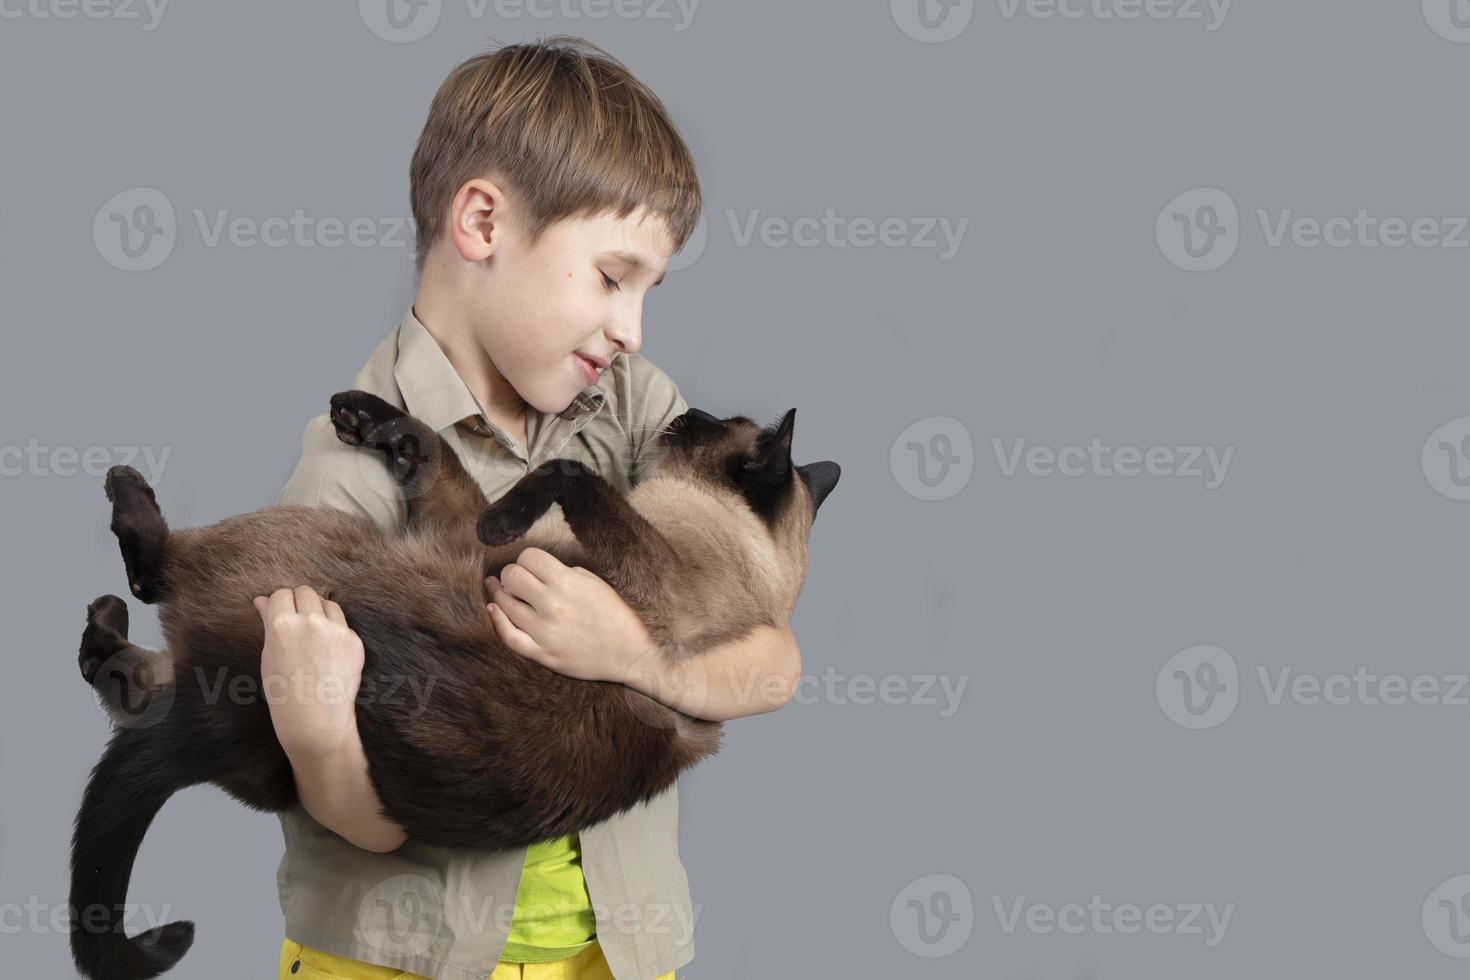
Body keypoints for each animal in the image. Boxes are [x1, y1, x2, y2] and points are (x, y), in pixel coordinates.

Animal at [69, 390, 846, 980]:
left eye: (711, 423)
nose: (683, 415)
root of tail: (211, 714)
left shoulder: (592, 567)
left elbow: (557, 473)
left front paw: (491, 496)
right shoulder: (471, 532)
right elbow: (437, 453)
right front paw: (370, 419)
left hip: (315, 546)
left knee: (155, 573)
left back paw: (125, 491)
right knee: (118, 672)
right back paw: (107, 614)